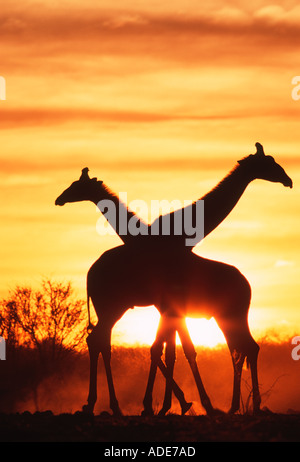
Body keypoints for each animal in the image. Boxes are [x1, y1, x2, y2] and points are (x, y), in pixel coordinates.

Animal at [55, 143, 292, 416]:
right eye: (269, 163)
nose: (288, 180)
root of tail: (89, 275)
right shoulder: (167, 305)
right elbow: (169, 349)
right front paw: (172, 404)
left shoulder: (169, 305)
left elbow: (169, 349)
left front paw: (172, 404)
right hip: (117, 307)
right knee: (100, 341)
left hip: (221, 314)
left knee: (244, 348)